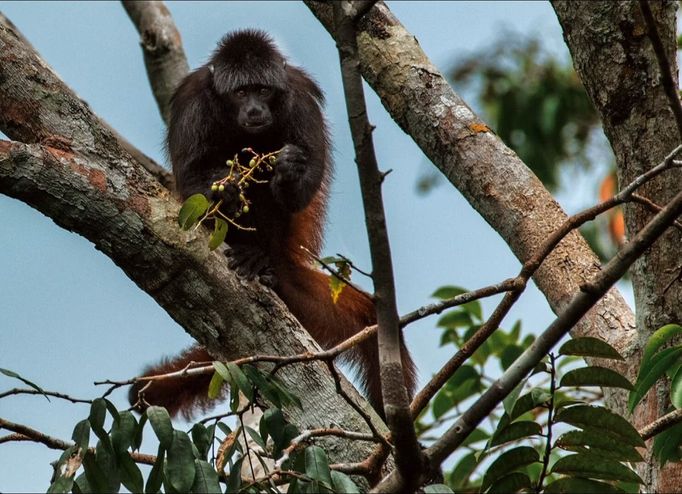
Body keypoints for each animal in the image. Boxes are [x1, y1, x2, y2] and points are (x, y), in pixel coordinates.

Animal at [127, 29, 414, 418]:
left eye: (262, 91)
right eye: (240, 93)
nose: (254, 110)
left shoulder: (299, 100)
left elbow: (305, 180)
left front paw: (290, 171)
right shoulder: (193, 103)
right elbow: (189, 180)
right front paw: (227, 188)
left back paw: (260, 260)